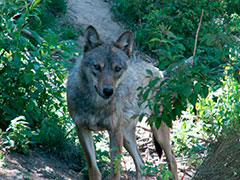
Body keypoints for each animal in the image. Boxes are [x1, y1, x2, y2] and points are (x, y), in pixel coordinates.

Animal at [66, 25, 177, 180]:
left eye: (117, 69)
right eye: (97, 67)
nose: (108, 91)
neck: (96, 104)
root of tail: (158, 71)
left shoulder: (114, 132)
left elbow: (115, 172)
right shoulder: (81, 128)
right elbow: (93, 168)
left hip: (157, 131)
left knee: (172, 160)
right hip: (126, 136)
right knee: (141, 165)